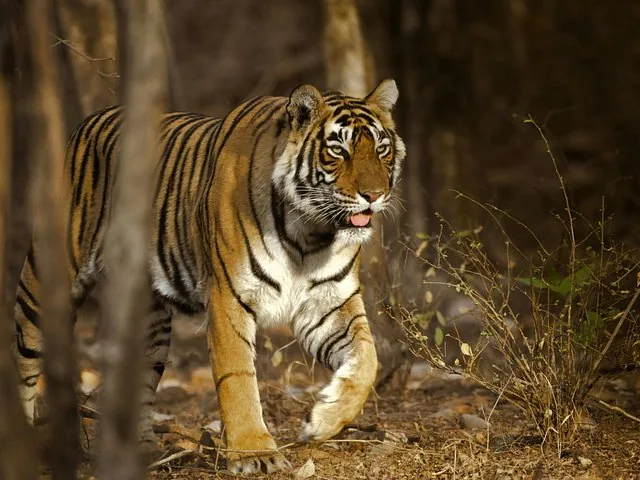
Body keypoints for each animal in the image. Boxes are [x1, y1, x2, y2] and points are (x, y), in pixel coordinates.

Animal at [13, 79, 406, 474]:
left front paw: (323, 420)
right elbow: (238, 377)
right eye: (338, 150)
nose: (374, 195)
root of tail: (87, 122)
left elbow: (368, 360)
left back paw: (143, 451)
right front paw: (253, 452)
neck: (311, 235)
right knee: (24, 363)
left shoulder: (330, 304)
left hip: (150, 322)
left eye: (382, 149)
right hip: (44, 286)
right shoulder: (230, 298)